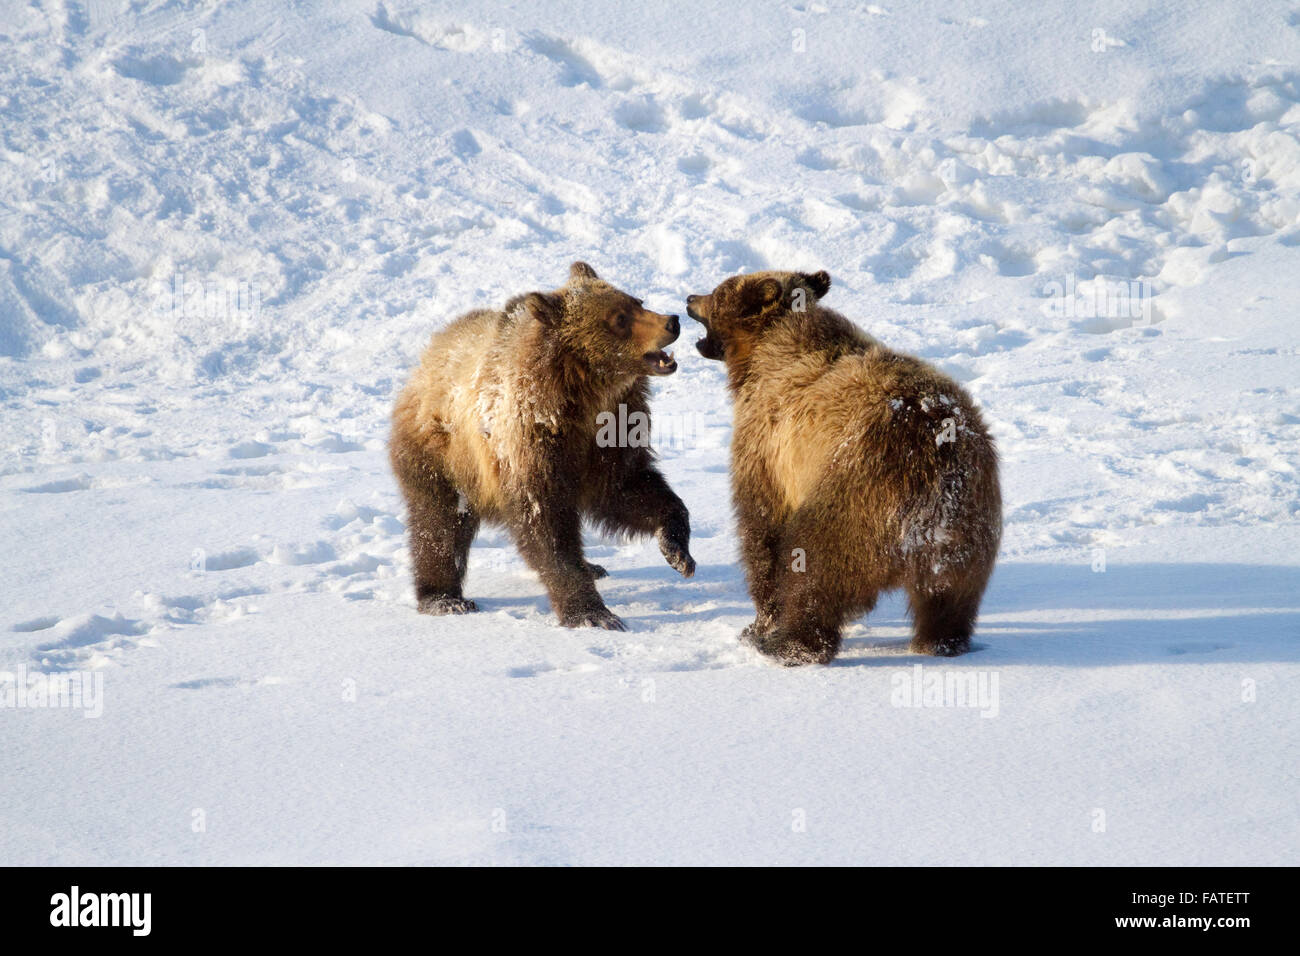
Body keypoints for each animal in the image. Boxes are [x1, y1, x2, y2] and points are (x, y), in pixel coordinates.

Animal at [384, 264, 691, 634]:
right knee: (439, 522)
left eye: (637, 301)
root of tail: (426, 356)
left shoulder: (610, 436)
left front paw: (677, 549)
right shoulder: (531, 445)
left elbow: (631, 488)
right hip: (443, 453)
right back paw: (444, 598)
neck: (581, 399)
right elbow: (546, 525)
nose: (672, 321)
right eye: (619, 318)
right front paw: (592, 613)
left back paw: (594, 566)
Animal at [686, 269, 998, 665]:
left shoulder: (768, 449)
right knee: (950, 599)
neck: (765, 353)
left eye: (719, 291)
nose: (689, 298)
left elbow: (762, 531)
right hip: (970, 529)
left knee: (814, 568)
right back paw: (942, 641)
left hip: (852, 497)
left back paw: (790, 644)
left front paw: (758, 624)